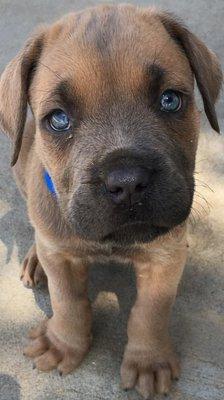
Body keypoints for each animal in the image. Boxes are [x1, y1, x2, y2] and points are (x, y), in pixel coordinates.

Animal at [0, 3, 222, 400]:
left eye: (170, 100)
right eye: (58, 119)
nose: (127, 182)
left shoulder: (164, 257)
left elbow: (150, 312)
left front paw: (148, 360)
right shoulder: (62, 256)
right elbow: (68, 302)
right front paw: (63, 343)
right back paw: (35, 257)